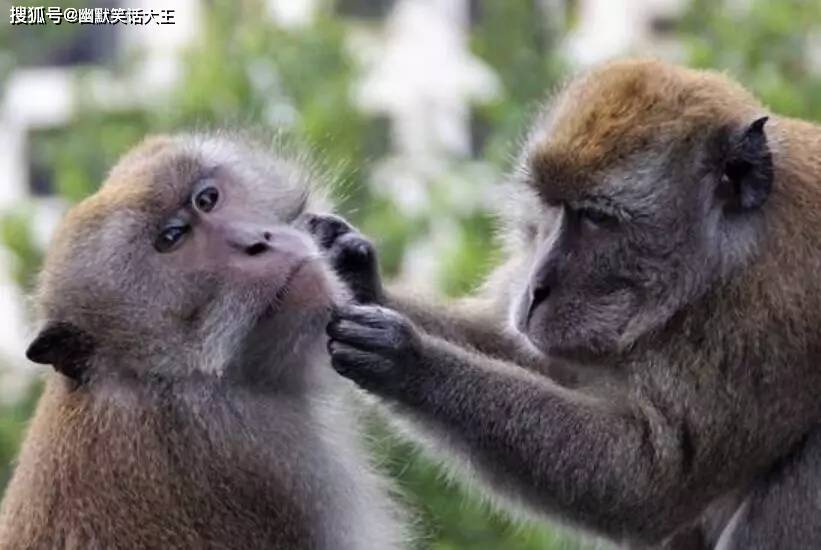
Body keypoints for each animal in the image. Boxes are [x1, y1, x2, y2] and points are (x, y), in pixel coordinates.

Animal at [310, 58, 820, 548]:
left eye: (596, 218)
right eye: (552, 206)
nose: (535, 288)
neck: (724, 260)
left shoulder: (763, 325)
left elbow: (647, 485)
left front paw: (409, 360)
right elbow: (521, 349)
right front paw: (353, 272)